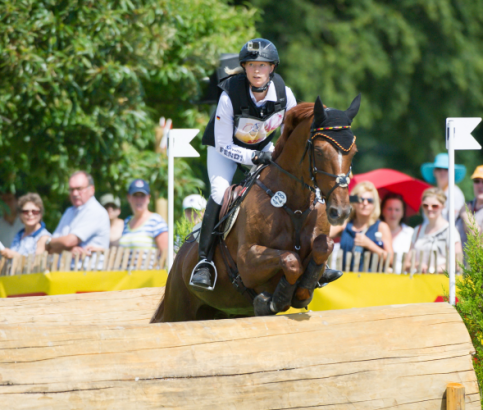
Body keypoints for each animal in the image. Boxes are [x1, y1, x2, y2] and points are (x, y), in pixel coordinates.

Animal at [151, 94, 360, 322]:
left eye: (353, 152)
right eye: (320, 151)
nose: (340, 211)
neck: (293, 203)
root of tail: (178, 258)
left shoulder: (317, 241)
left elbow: (323, 247)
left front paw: (301, 292)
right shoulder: (247, 261)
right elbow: (290, 259)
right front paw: (275, 300)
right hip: (178, 309)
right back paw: (203, 273)